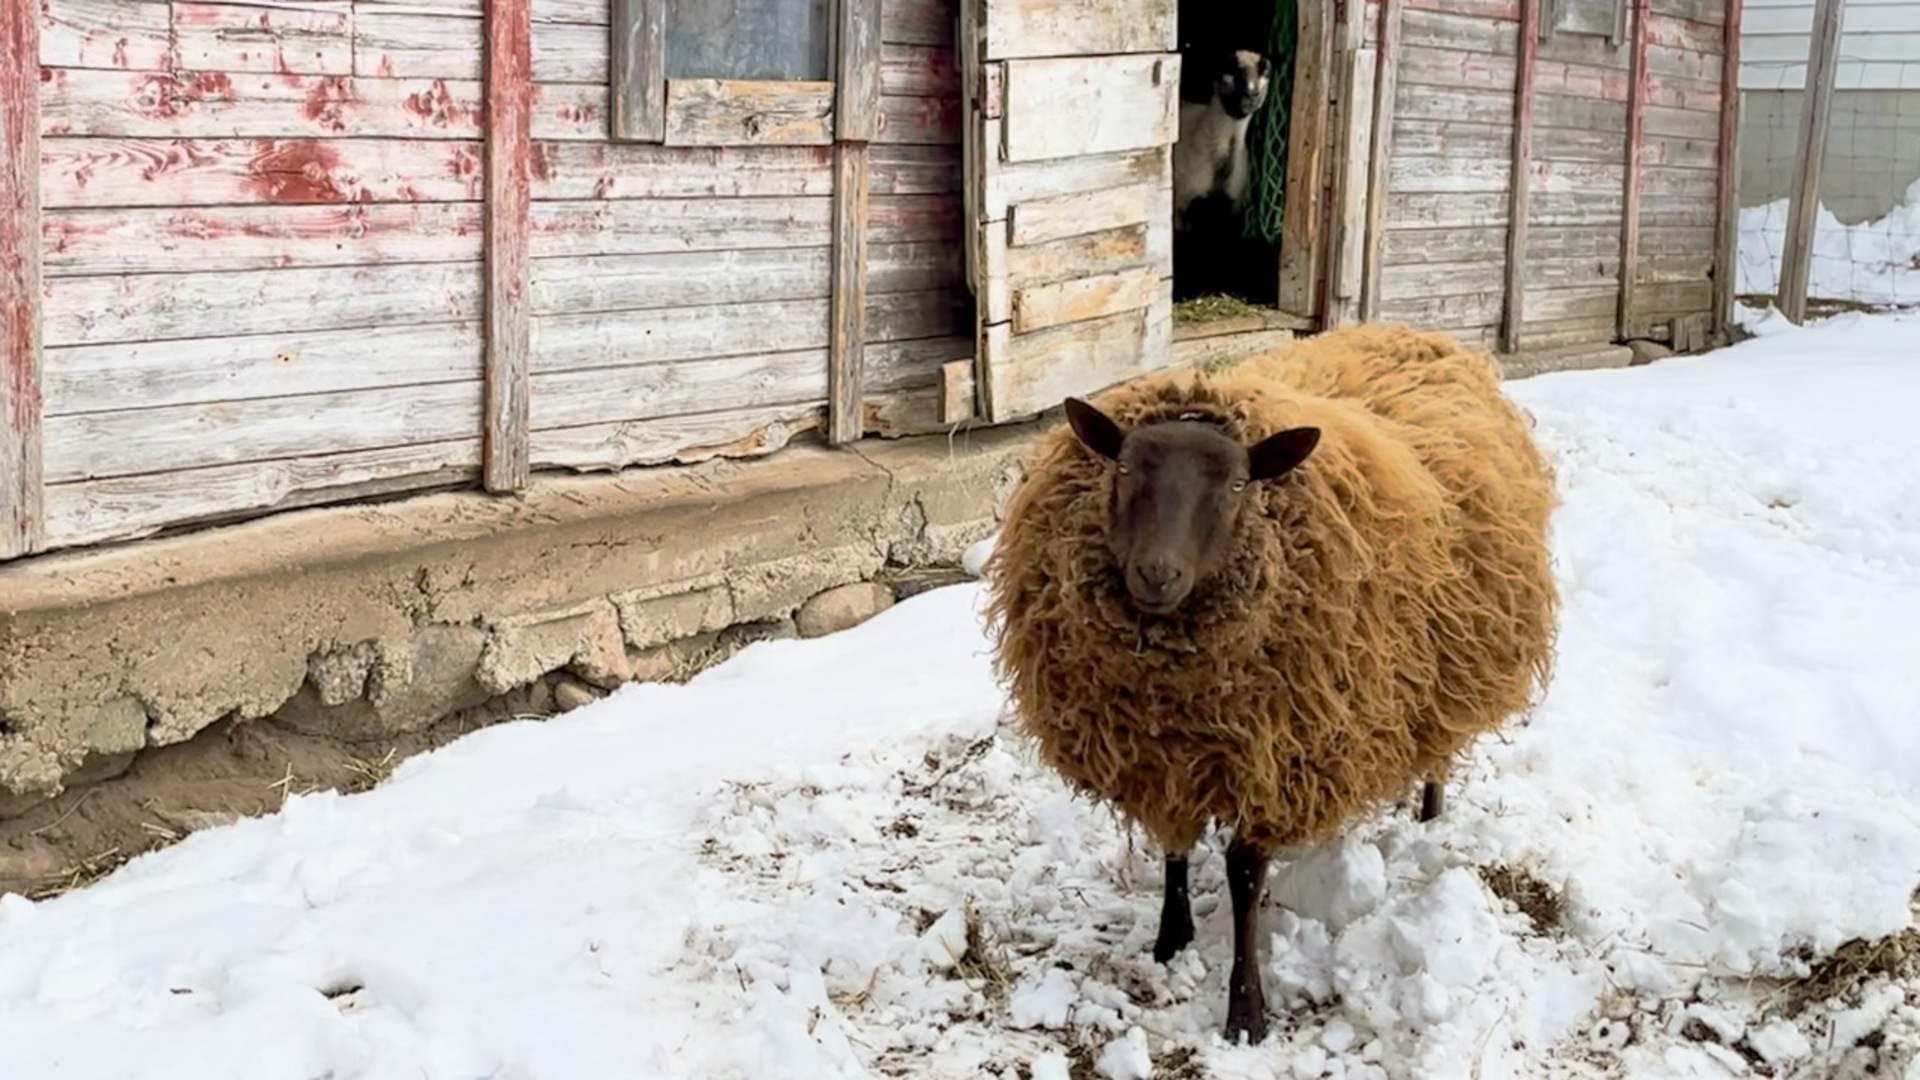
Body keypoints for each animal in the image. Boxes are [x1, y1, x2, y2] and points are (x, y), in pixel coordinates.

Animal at [983, 320, 1551, 1045]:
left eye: (1235, 486)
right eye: (1124, 467)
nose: (1156, 575)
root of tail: (1425, 338)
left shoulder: (1274, 756)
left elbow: (1244, 874)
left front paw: (1246, 1010)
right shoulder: (1164, 756)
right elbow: (1175, 845)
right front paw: (1171, 941)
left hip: (1455, 660)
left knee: (1440, 751)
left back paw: (1429, 818)